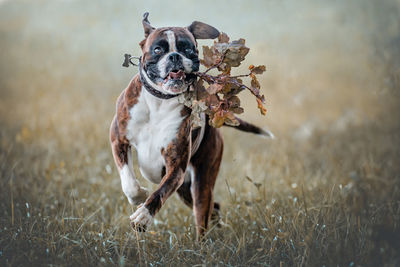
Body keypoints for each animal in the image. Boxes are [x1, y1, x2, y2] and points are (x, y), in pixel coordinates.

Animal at [109, 13, 272, 237]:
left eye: (187, 49)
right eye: (158, 49)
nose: (174, 56)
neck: (160, 101)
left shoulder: (175, 166)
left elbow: (159, 193)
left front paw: (143, 216)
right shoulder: (118, 139)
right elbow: (128, 181)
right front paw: (138, 196)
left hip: (199, 183)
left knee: (203, 213)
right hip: (185, 190)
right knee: (214, 208)